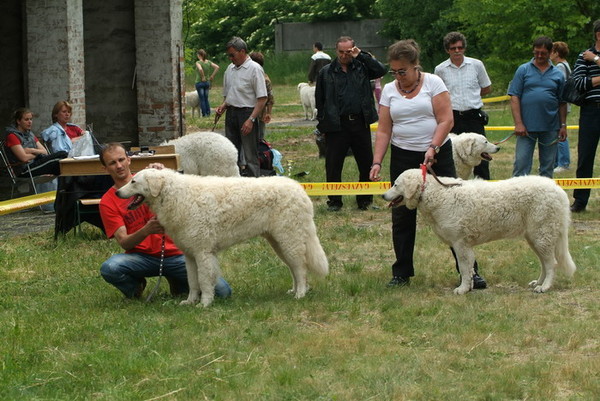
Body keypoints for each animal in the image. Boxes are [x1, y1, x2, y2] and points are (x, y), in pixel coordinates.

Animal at [116, 168, 328, 306]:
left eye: (133, 181)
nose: (117, 191)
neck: (174, 196)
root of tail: (300, 189)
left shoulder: (203, 252)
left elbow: (203, 280)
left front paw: (205, 304)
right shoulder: (190, 255)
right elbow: (193, 282)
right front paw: (189, 302)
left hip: (289, 239)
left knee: (300, 268)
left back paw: (300, 294)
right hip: (279, 242)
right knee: (294, 268)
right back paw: (294, 291)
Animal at [384, 169, 576, 294]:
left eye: (395, 184)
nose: (383, 195)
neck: (433, 193)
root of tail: (558, 189)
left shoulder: (459, 243)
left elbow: (463, 267)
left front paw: (462, 289)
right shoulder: (464, 245)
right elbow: (468, 268)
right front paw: (468, 287)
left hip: (542, 235)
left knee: (551, 263)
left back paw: (544, 287)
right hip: (535, 238)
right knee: (545, 263)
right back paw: (538, 283)